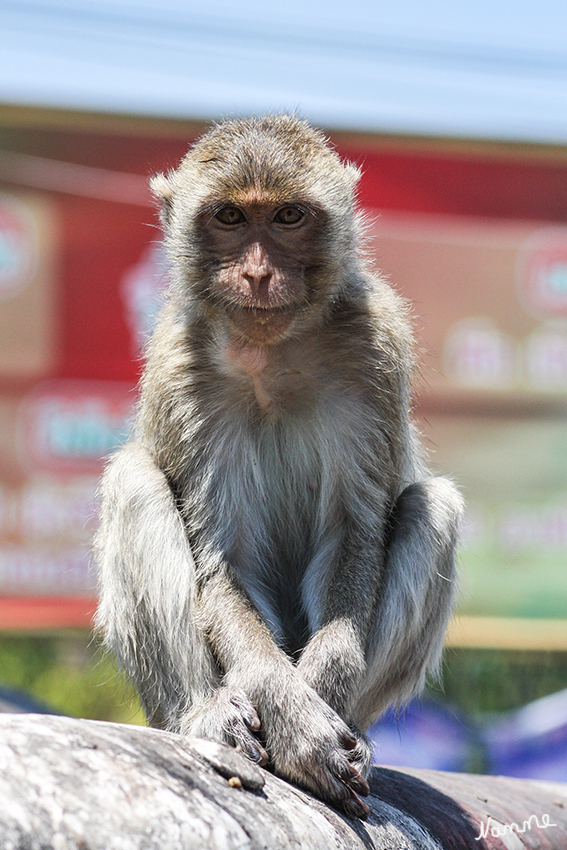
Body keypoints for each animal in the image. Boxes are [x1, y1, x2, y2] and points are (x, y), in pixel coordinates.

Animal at [94, 116, 466, 820]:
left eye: (289, 216)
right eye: (231, 217)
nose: (259, 273)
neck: (273, 354)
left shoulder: (374, 348)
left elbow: (353, 533)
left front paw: (316, 701)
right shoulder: (181, 370)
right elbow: (225, 559)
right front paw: (296, 720)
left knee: (433, 510)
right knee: (133, 484)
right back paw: (206, 716)